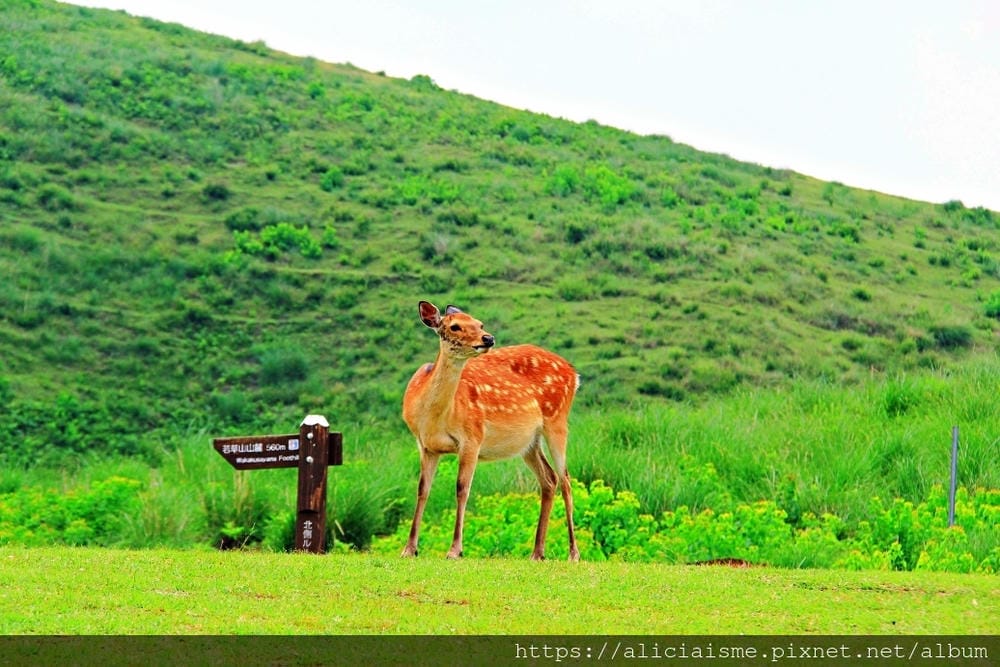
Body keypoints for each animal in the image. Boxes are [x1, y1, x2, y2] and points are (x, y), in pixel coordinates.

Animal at [401, 300, 581, 561]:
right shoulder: (425, 445)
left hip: (557, 419)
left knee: (566, 480)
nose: (488, 338)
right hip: (529, 441)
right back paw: (537, 552)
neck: (434, 417)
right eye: (455, 326)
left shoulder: (472, 437)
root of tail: (574, 373)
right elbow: (422, 490)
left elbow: (462, 489)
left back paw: (573, 553)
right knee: (549, 479)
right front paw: (409, 548)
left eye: (480, 323)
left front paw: (455, 550)